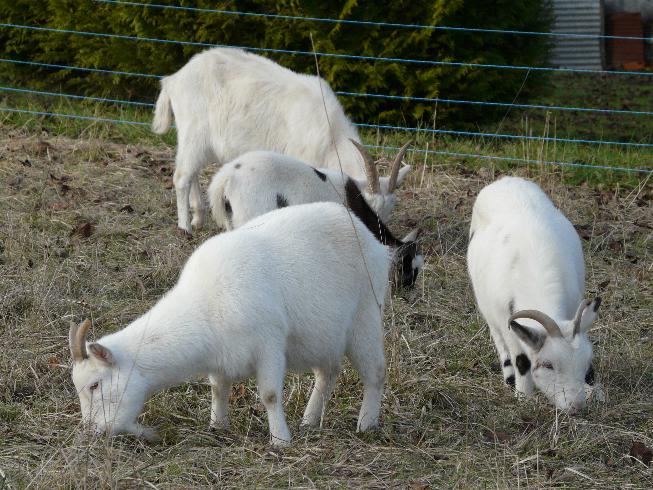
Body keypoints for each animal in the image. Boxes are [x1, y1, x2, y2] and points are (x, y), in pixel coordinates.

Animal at [69, 201, 390, 446]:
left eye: (95, 385)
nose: (93, 431)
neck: (205, 304)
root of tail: (367, 234)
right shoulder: (220, 357)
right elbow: (218, 388)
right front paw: (218, 425)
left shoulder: (269, 343)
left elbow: (270, 395)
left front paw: (280, 441)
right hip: (324, 335)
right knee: (327, 372)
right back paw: (310, 420)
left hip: (366, 315)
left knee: (375, 372)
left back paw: (366, 424)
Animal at [152, 47, 410, 234]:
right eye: (366, 204)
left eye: (390, 210)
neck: (331, 137)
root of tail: (173, 80)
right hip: (193, 132)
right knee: (182, 177)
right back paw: (185, 227)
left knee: (192, 172)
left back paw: (198, 218)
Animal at [466, 177, 600, 414]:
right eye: (548, 365)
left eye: (587, 365)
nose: (575, 406)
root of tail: (506, 180)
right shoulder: (509, 323)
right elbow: (521, 359)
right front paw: (524, 398)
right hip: (486, 306)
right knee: (497, 336)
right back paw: (509, 378)